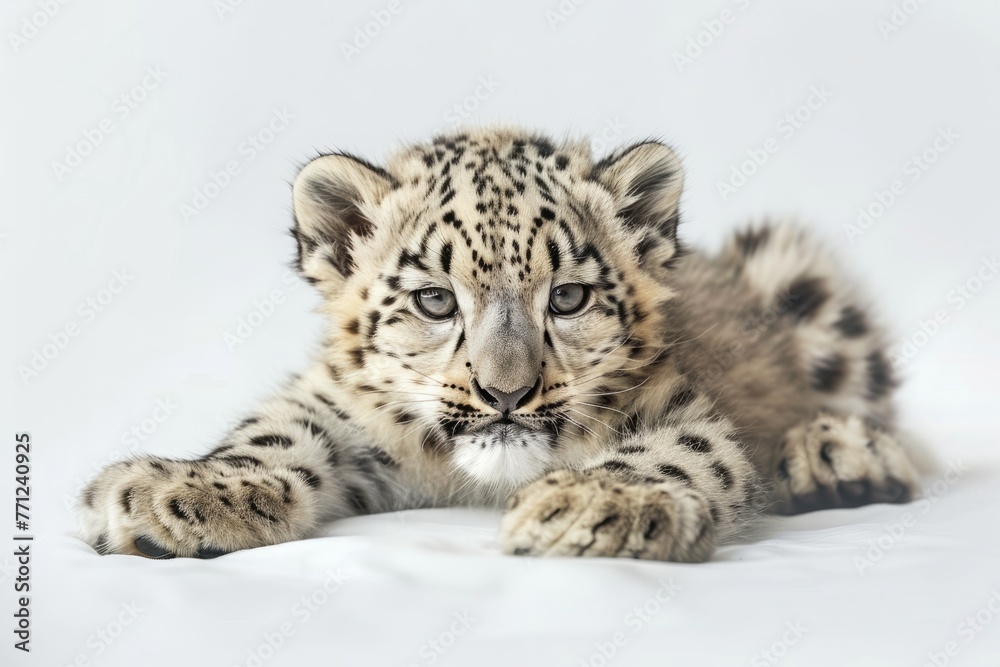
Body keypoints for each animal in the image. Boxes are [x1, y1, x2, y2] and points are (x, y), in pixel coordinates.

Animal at [77, 126, 921, 562]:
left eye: (569, 296)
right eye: (435, 299)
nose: (506, 392)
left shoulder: (681, 409)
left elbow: (672, 456)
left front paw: (587, 504)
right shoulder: (338, 402)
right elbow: (274, 432)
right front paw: (172, 493)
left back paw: (841, 457)